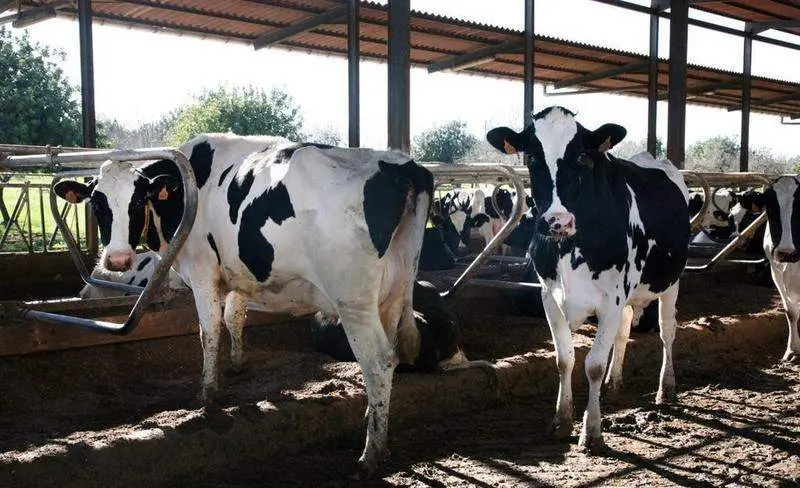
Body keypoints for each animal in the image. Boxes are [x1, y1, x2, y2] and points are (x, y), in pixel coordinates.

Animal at [54, 134, 434, 475]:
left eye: (137, 201)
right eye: (97, 203)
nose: (117, 260)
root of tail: (403, 164)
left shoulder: (203, 272)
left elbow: (209, 330)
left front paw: (206, 393)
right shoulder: (236, 274)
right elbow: (234, 317)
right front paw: (237, 364)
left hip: (353, 300)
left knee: (379, 361)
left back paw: (371, 454)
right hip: (391, 293)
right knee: (391, 355)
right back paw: (372, 418)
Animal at [487, 107, 689, 452]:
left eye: (582, 155)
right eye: (532, 156)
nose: (557, 221)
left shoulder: (610, 299)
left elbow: (592, 365)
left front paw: (591, 430)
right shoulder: (550, 296)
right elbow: (564, 360)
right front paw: (561, 419)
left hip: (670, 283)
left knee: (667, 332)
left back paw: (667, 388)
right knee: (624, 331)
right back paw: (614, 382)